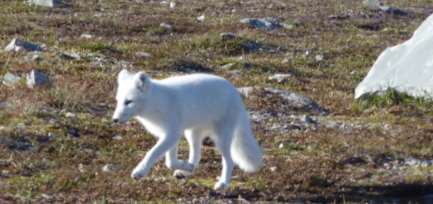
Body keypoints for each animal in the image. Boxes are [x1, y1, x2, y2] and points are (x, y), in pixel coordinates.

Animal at [110, 69, 264, 190]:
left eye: (128, 102)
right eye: (118, 101)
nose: (115, 119)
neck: (156, 103)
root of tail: (235, 93)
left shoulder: (172, 133)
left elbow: (153, 153)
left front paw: (140, 171)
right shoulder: (171, 135)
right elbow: (170, 162)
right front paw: (186, 166)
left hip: (221, 138)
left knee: (229, 161)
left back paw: (223, 184)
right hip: (192, 134)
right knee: (197, 155)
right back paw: (187, 171)